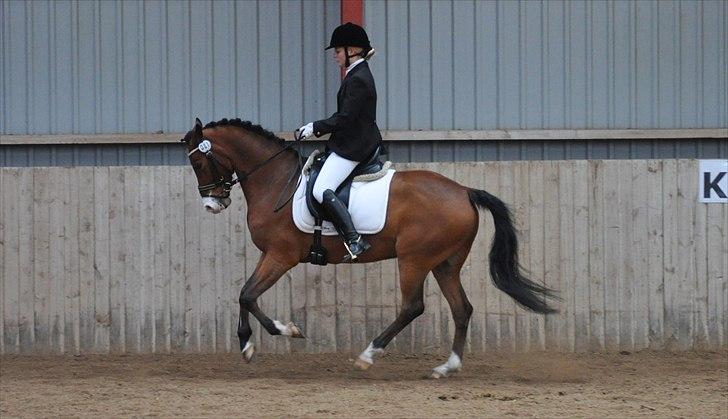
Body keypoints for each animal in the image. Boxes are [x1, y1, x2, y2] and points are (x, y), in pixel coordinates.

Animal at [182, 117, 558, 378]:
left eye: (198, 163)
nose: (212, 205)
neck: (276, 181)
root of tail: (464, 191)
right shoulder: (269, 255)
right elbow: (245, 293)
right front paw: (251, 343)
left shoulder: (281, 256)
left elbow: (247, 294)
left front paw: (276, 334)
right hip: (445, 263)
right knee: (462, 309)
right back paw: (446, 367)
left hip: (414, 259)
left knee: (413, 306)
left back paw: (368, 355)